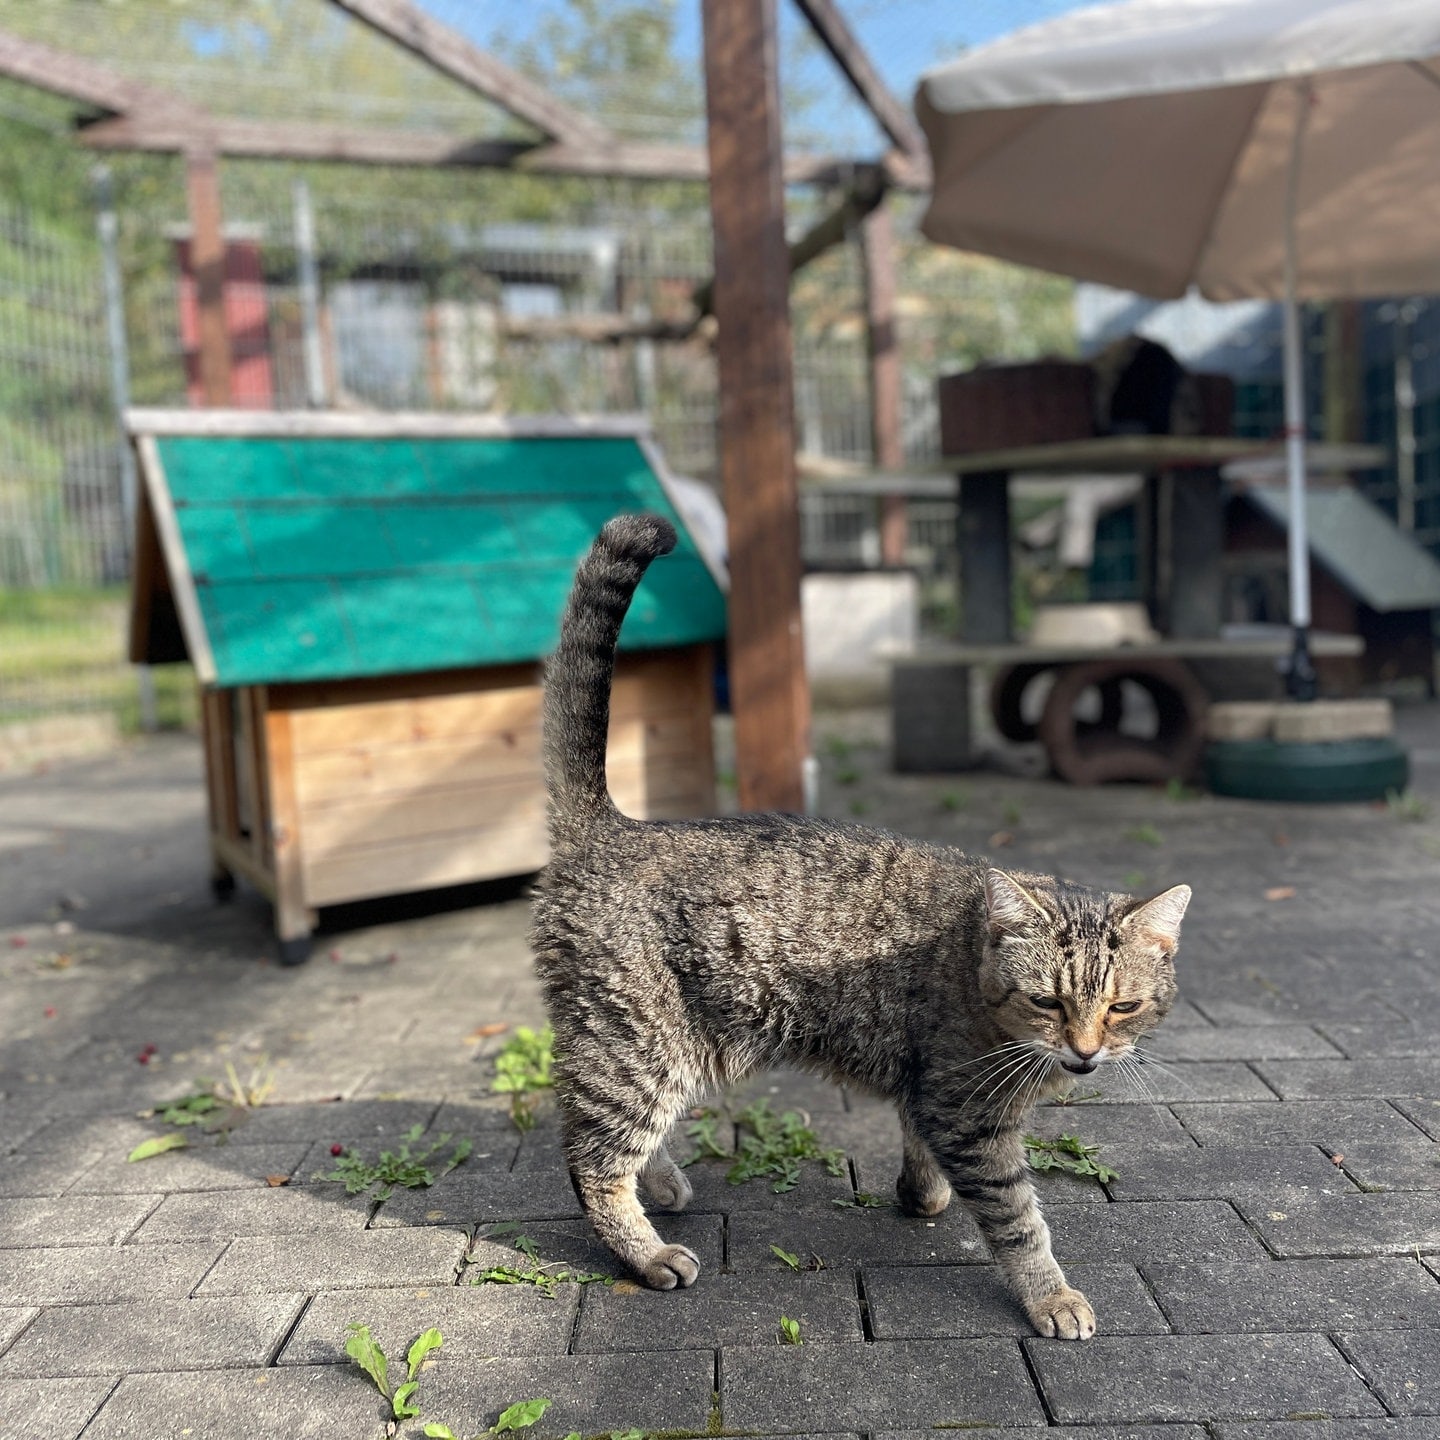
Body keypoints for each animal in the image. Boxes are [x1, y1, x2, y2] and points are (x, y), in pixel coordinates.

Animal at [532, 515, 1192, 1336]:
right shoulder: (970, 1113)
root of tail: (611, 827)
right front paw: (1050, 1294)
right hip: (640, 1049)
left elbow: (919, 1145)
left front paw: (922, 1195)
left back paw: (663, 1188)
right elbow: (1017, 1218)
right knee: (589, 1160)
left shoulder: (928, 1088)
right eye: (1048, 1002)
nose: (1086, 1051)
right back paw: (647, 1251)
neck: (971, 964)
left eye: (1123, 1007)